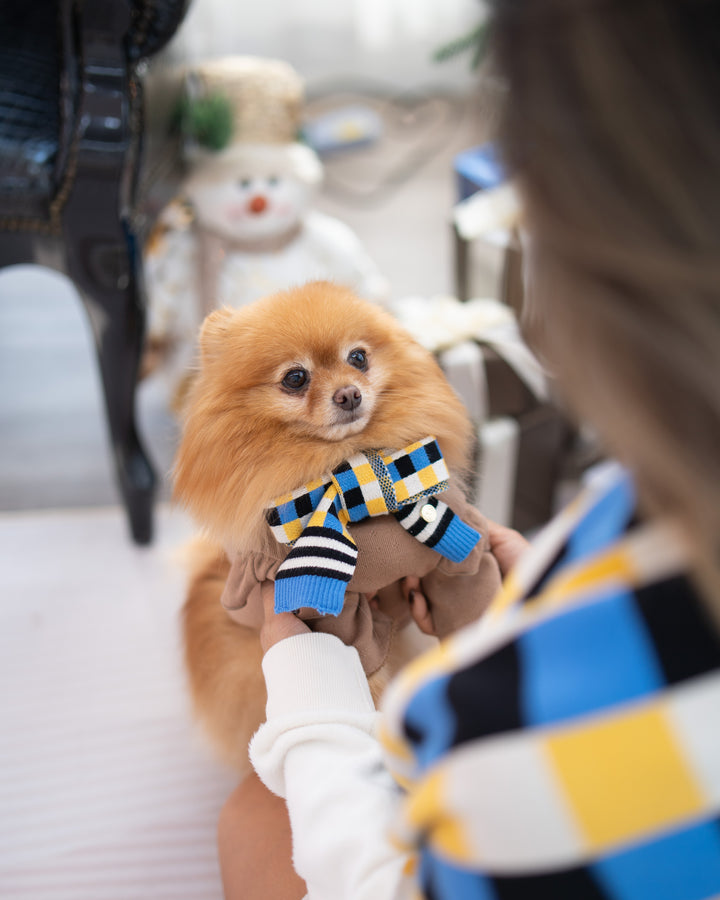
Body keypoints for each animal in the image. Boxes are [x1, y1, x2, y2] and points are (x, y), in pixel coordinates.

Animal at [175, 280, 490, 768]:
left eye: (358, 358)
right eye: (295, 378)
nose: (349, 394)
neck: (351, 475)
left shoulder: (451, 545)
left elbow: (470, 595)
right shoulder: (335, 610)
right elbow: (359, 680)